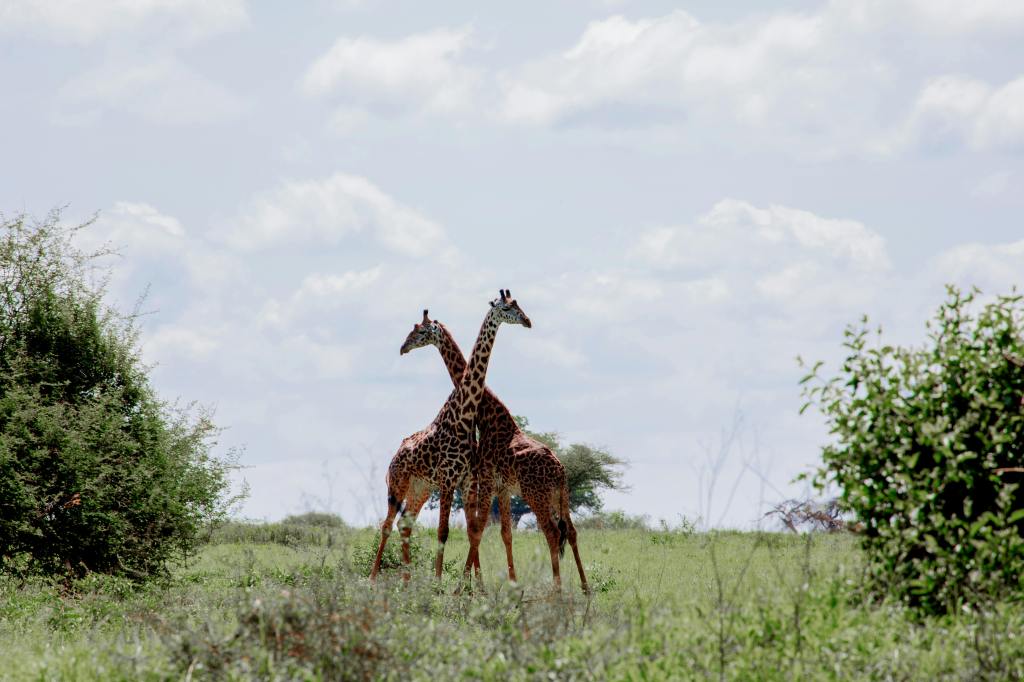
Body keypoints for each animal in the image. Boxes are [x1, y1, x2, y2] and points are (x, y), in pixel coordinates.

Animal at [370, 290, 531, 585]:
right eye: (507, 308)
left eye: (515, 306)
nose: (403, 347)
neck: (464, 416)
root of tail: (393, 459)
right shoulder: (448, 479)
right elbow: (444, 532)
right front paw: (439, 583)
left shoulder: (466, 480)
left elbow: (470, 530)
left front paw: (475, 586)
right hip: (398, 484)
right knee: (387, 524)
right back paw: (375, 578)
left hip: (420, 488)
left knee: (404, 523)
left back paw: (407, 581)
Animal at [400, 310, 589, 594]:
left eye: (419, 332)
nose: (403, 347)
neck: (487, 415)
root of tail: (561, 471)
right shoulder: (502, 487)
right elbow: (503, 533)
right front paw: (510, 584)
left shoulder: (487, 480)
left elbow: (477, 529)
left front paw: (465, 588)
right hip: (560, 497)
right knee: (572, 532)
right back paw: (585, 589)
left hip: (537, 495)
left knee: (552, 532)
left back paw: (557, 590)